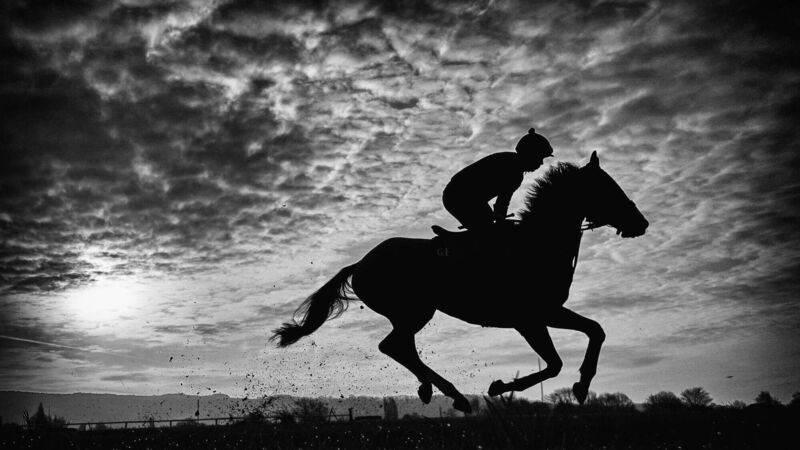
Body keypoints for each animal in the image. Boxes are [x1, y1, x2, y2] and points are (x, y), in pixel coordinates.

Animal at [271, 151, 649, 413]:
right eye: (608, 188)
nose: (641, 223)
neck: (538, 242)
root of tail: (361, 263)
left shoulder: (548, 311)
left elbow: (596, 330)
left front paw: (582, 386)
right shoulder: (529, 318)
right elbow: (554, 363)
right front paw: (499, 387)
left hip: (409, 313)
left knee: (400, 347)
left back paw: (430, 389)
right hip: (416, 310)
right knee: (393, 346)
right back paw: (454, 395)